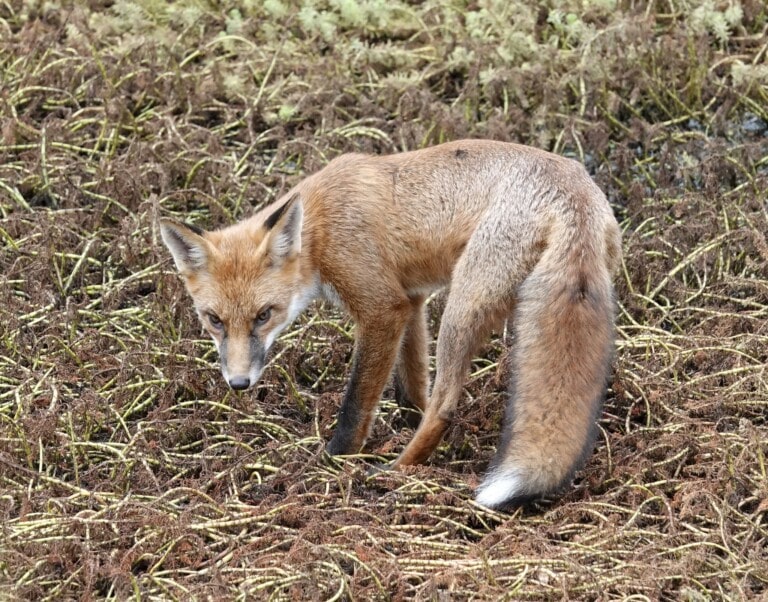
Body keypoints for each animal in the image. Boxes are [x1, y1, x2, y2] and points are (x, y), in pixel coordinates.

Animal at [159, 139, 622, 509]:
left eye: (263, 315)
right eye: (214, 320)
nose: (238, 384)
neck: (319, 228)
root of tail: (576, 193)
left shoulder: (382, 309)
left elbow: (356, 404)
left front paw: (333, 462)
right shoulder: (410, 302)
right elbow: (410, 387)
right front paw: (404, 421)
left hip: (463, 303)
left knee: (445, 405)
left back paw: (395, 474)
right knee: (437, 402)